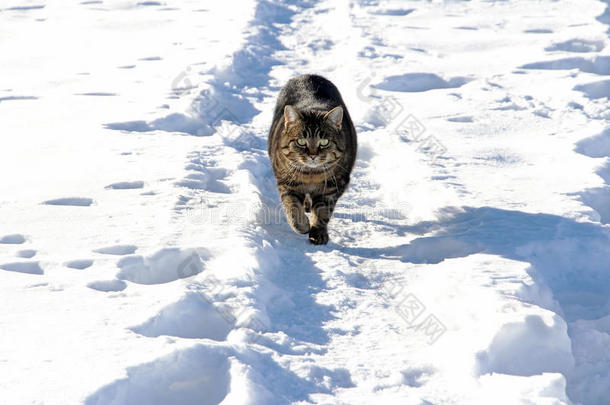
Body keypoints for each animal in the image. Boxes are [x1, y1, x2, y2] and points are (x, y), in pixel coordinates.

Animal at [268, 73, 356, 243]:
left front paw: (318, 232)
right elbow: (292, 208)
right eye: (301, 142)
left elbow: (322, 212)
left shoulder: (333, 186)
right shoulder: (286, 183)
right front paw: (302, 225)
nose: (313, 155)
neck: (311, 175)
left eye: (324, 142)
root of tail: (308, 75)